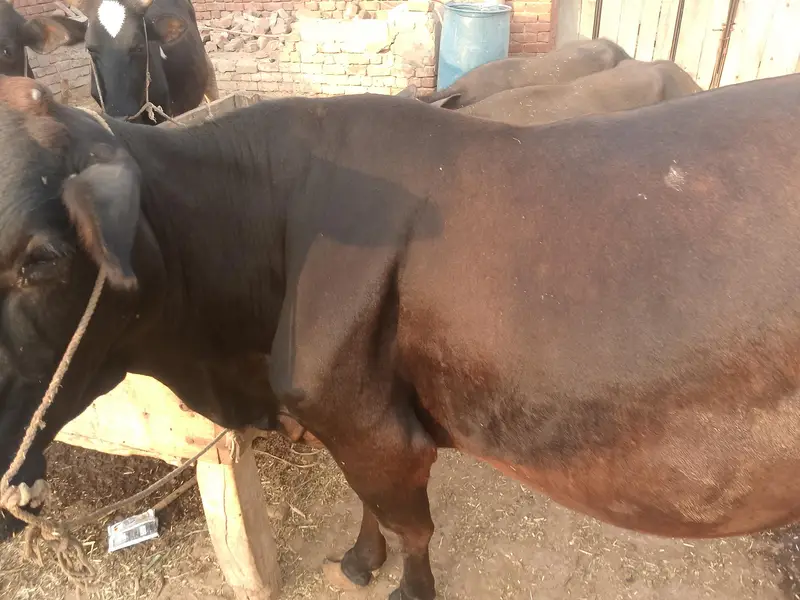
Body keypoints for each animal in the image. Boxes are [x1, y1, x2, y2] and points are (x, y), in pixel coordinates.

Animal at [2, 72, 800, 600]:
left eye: (42, 258)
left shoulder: (378, 431)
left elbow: (413, 525)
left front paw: (408, 590)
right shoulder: (351, 417)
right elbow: (368, 503)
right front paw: (360, 560)